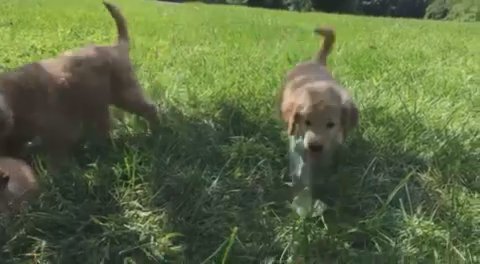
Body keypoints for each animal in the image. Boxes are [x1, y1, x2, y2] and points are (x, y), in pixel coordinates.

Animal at [0, 1, 159, 171]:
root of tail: (116, 46)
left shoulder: (59, 128)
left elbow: (58, 155)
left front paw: (58, 172)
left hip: (124, 92)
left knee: (150, 108)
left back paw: (154, 132)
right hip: (99, 102)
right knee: (106, 126)